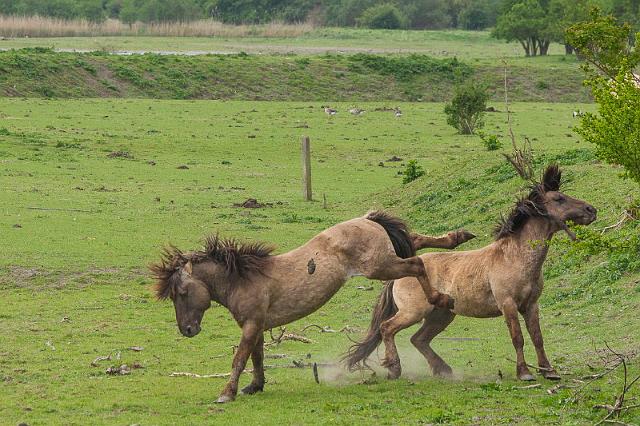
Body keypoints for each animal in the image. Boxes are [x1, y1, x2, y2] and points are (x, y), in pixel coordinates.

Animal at [149, 212, 470, 402]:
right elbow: (258, 357)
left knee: (416, 264)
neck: (243, 278)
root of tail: (367, 219)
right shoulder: (257, 326)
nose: (187, 330)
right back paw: (458, 237)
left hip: (380, 266)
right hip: (387, 259)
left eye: (181, 292)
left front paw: (227, 393)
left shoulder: (251, 325)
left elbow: (239, 359)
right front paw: (255, 386)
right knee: (415, 241)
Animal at [348, 165, 596, 382]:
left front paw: (549, 371)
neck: (513, 258)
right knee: (387, 328)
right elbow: (518, 338)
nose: (591, 210)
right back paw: (394, 368)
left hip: (441, 315)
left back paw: (443, 370)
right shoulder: (508, 305)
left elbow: (537, 337)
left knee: (418, 339)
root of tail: (399, 273)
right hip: (413, 312)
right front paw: (524, 373)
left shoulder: (531, 305)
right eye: (559, 199)